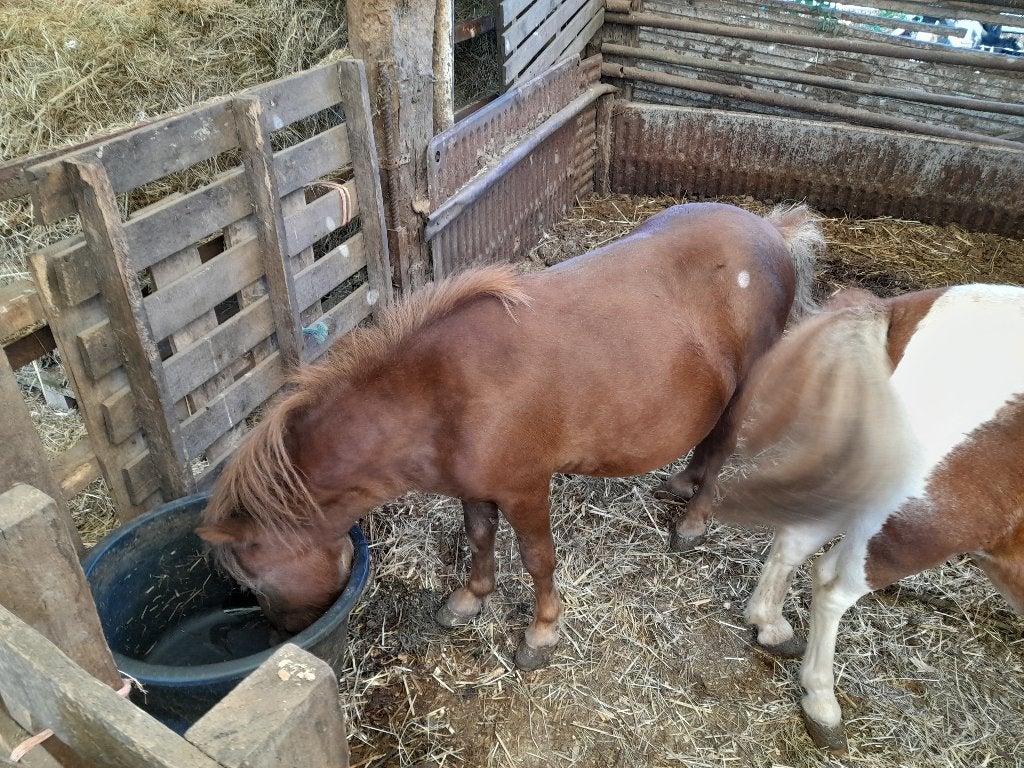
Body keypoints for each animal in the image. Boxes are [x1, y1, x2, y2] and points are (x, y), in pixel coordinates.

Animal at [197, 201, 822, 670]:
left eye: (253, 583)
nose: (278, 639)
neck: (439, 393)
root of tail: (770, 231)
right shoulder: (474, 488)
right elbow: (478, 538)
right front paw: (469, 599)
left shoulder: (524, 488)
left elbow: (538, 557)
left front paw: (542, 632)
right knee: (707, 443)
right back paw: (681, 483)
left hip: (747, 386)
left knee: (723, 450)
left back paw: (693, 519)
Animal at [697, 283, 1024, 751]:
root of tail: (895, 313)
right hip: (921, 527)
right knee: (833, 585)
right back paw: (821, 703)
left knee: (796, 542)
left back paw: (771, 627)